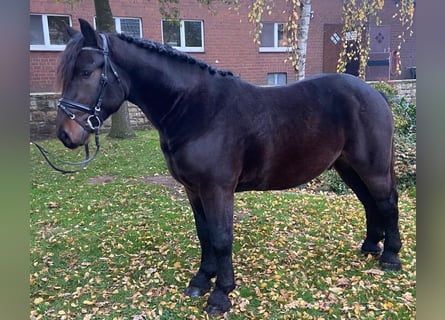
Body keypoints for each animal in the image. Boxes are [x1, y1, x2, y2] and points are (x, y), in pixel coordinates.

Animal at [53, 19, 400, 316]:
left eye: (86, 72)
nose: (65, 134)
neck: (196, 109)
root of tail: (375, 93)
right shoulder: (193, 190)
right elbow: (204, 234)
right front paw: (201, 280)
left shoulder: (217, 189)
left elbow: (221, 238)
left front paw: (221, 294)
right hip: (348, 167)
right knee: (370, 203)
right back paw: (371, 246)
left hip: (372, 168)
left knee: (387, 204)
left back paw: (391, 257)